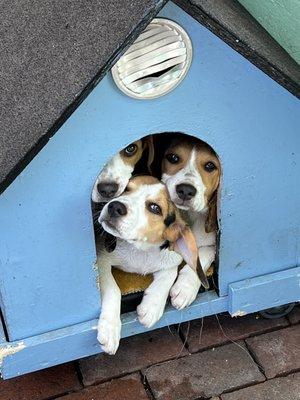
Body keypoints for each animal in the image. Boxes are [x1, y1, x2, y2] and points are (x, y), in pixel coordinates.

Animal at [96, 177, 209, 354]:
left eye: (154, 208)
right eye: (126, 189)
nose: (115, 206)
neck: (140, 250)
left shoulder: (171, 259)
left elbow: (169, 275)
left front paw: (152, 306)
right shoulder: (102, 260)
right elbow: (114, 289)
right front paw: (110, 329)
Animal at [162, 134, 220, 310]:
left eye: (210, 166)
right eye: (173, 158)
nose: (186, 190)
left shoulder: (214, 243)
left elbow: (203, 254)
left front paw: (184, 289)